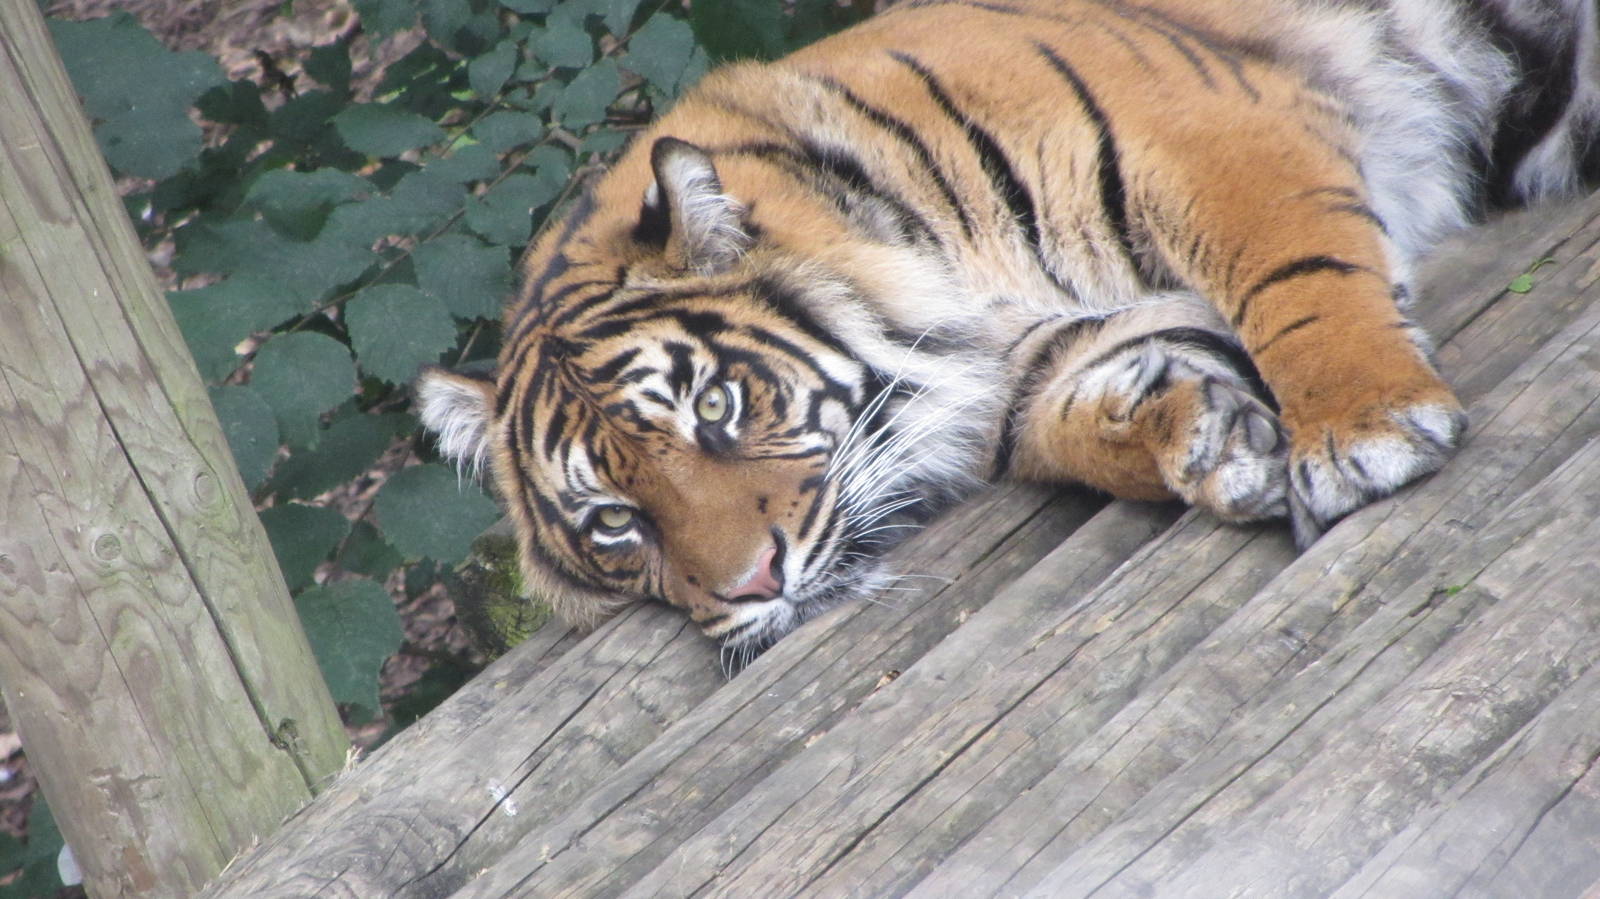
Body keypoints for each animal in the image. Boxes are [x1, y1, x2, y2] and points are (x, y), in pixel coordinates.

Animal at [418, 0, 1600, 653]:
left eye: (715, 405)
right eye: (614, 522)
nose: (755, 584)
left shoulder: (1207, 129)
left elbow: (1292, 279)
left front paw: (1361, 428)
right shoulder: (1033, 362)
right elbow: (1092, 422)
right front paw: (1211, 443)